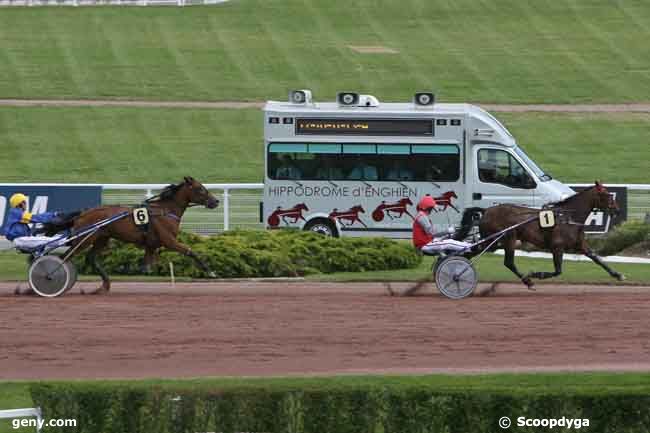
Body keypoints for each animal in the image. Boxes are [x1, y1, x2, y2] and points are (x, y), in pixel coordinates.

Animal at [70, 176, 218, 294]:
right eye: (200, 188)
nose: (216, 201)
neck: (165, 211)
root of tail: (82, 214)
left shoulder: (151, 245)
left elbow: (145, 268)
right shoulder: (169, 241)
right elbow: (191, 251)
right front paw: (211, 272)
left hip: (101, 239)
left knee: (91, 258)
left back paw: (103, 286)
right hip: (84, 239)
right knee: (68, 255)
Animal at [478, 181, 620, 288]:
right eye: (606, 194)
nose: (616, 209)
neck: (568, 217)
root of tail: (487, 211)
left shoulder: (580, 245)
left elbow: (597, 258)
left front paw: (617, 275)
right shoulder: (557, 247)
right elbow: (558, 271)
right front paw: (534, 274)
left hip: (496, 241)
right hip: (508, 238)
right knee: (508, 262)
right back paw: (527, 281)